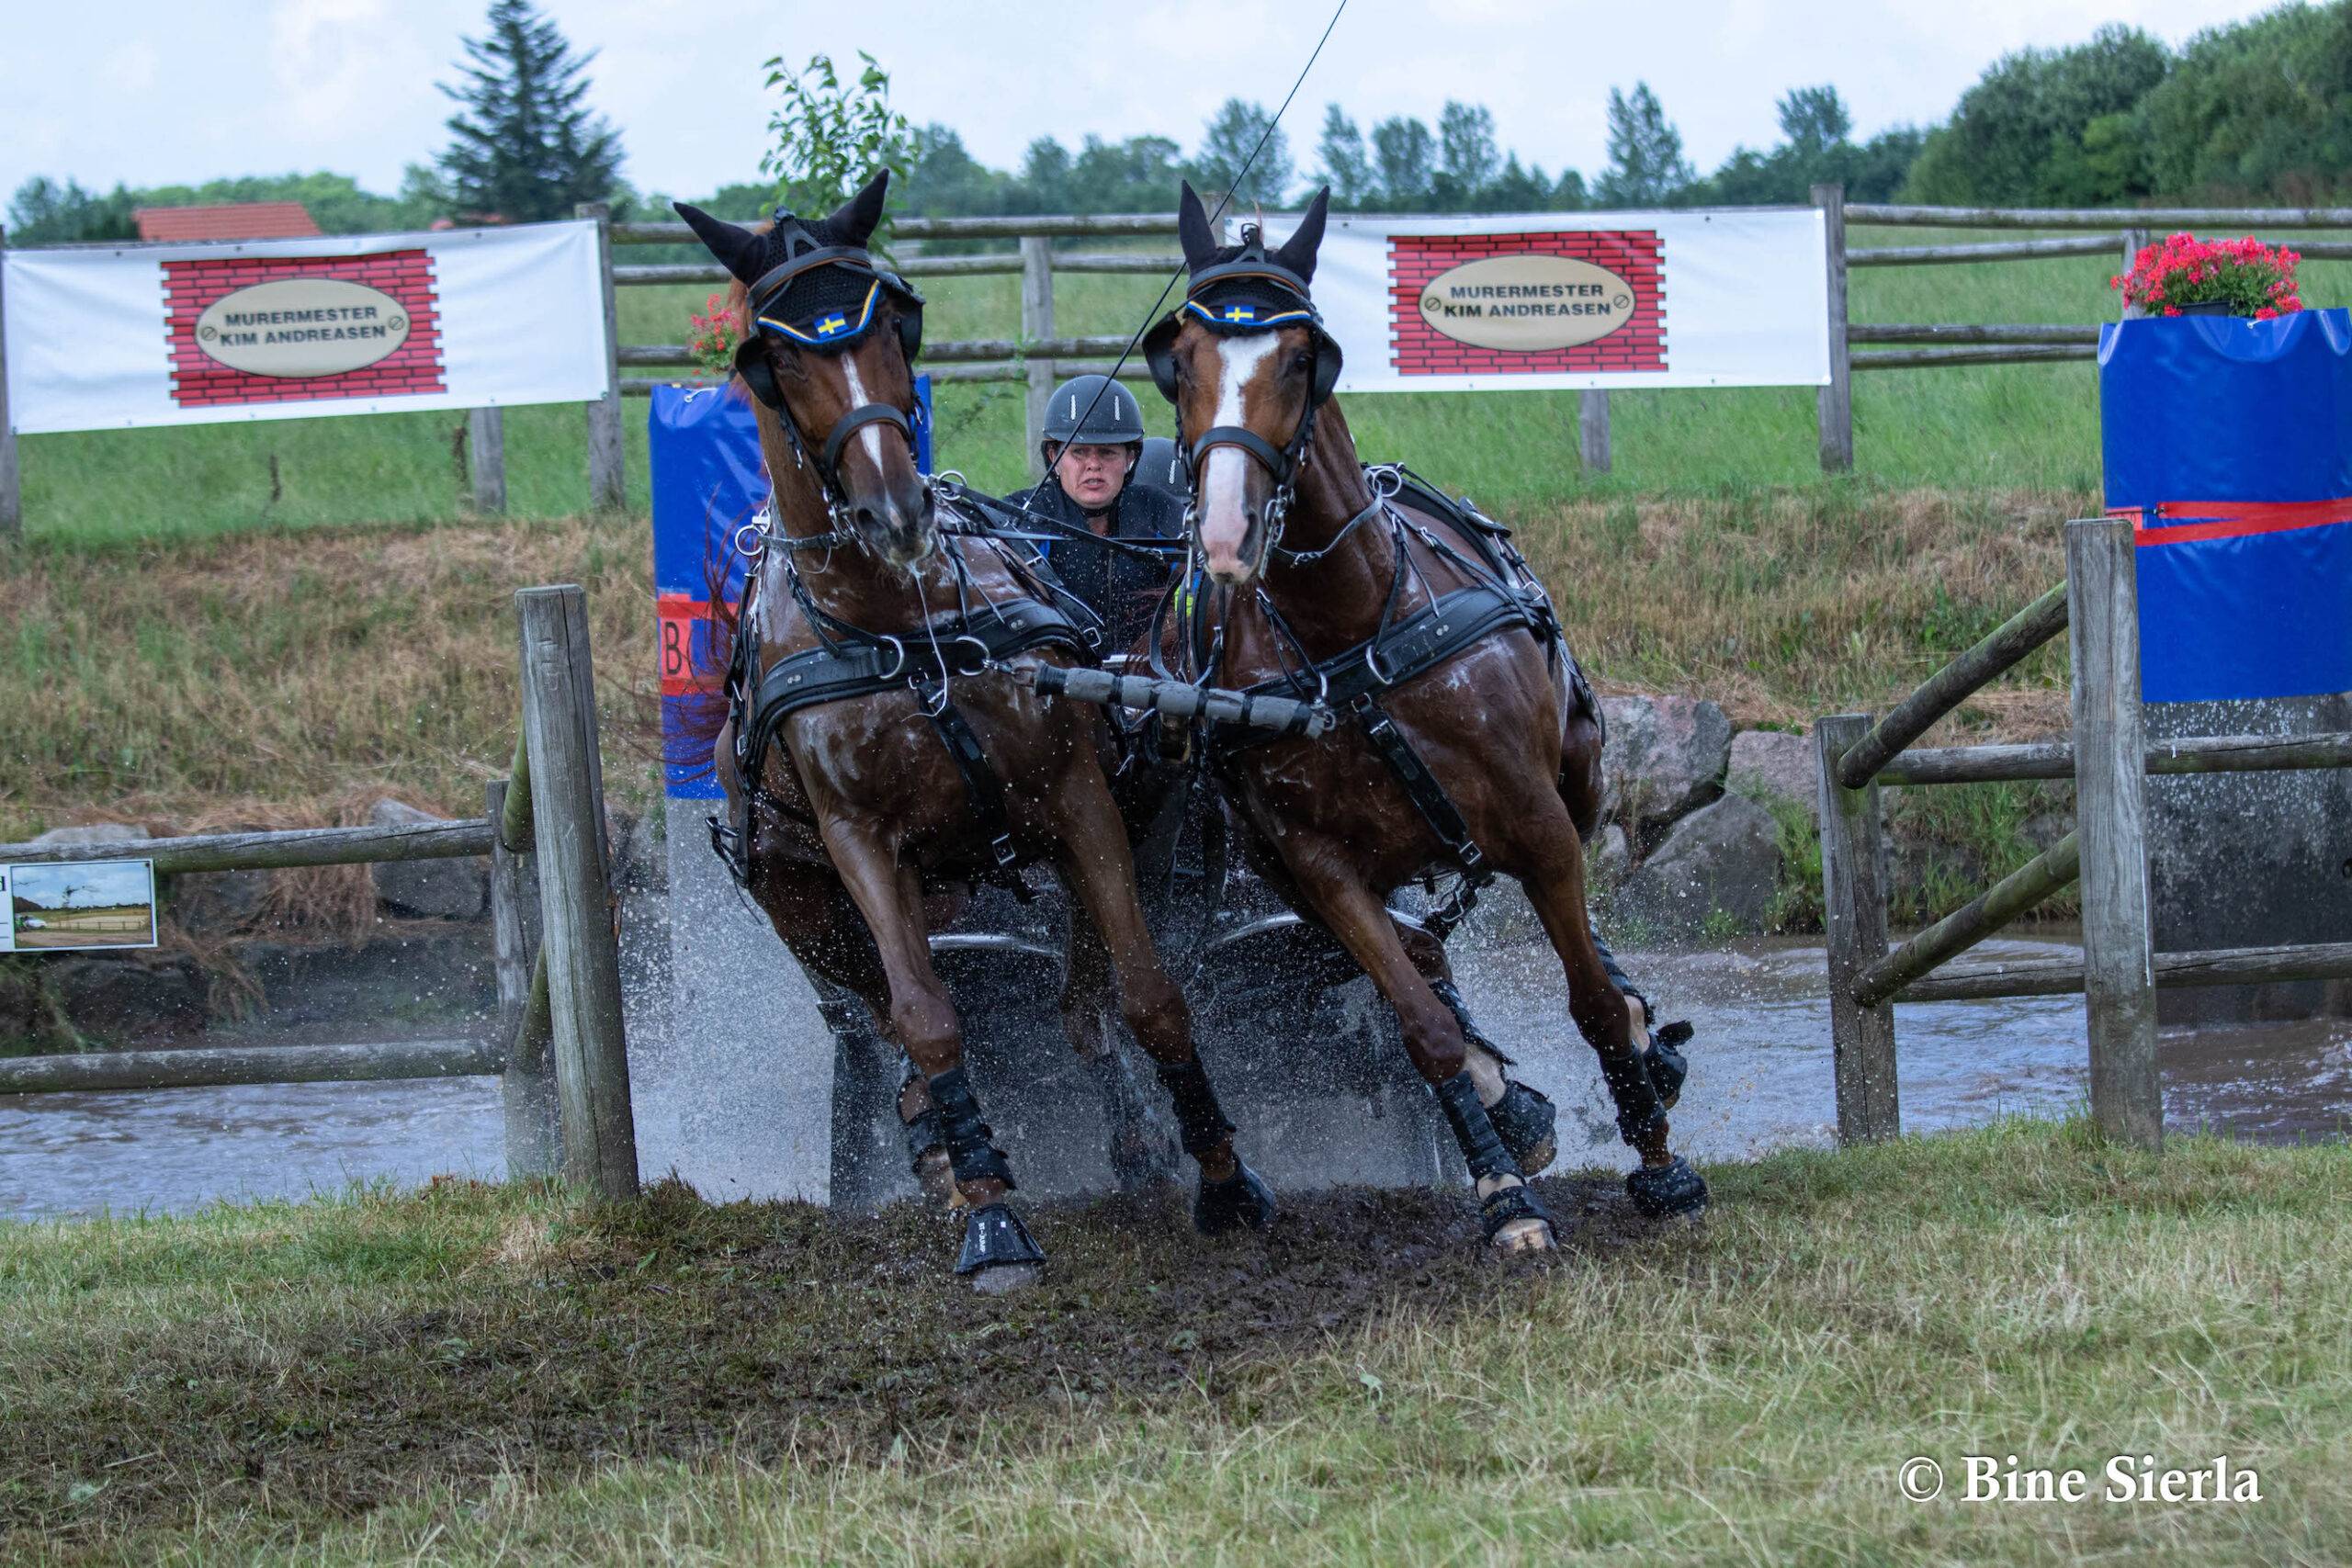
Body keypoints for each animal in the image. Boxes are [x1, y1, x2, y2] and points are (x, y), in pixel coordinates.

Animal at [672, 172, 1275, 1291]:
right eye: (771, 358)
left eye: (896, 322)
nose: (895, 510)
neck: (900, 627)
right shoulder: (861, 846)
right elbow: (928, 1017)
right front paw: (990, 1210)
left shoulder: (1079, 801)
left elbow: (1146, 990)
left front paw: (1221, 1174)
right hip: (802, 901)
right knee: (880, 1018)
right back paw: (941, 1154)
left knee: (1082, 998)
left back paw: (1126, 1133)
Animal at [1140, 182, 1710, 1251]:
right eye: (1180, 359)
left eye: (1301, 357)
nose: (1228, 531)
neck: (1351, 635)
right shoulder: (1319, 866)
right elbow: (1422, 1025)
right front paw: (1505, 1196)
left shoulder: (1536, 825)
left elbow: (1589, 1000)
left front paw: (1661, 1165)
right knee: (1425, 952)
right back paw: (1506, 1100)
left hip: (1576, 785)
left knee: (1591, 959)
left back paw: (1645, 1049)